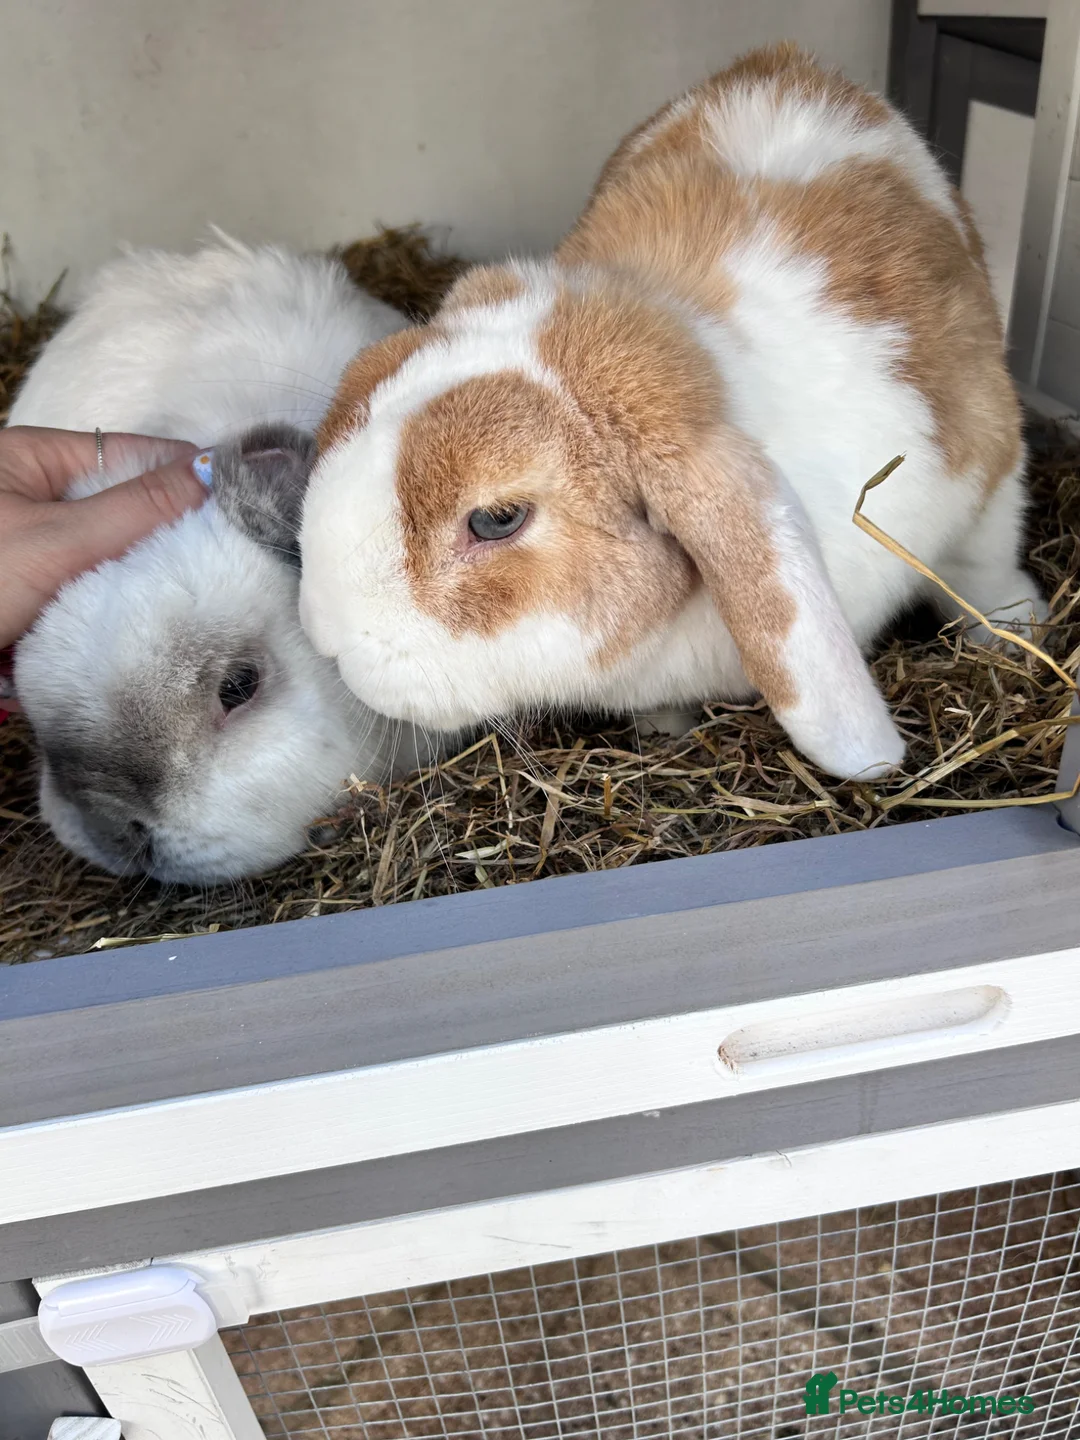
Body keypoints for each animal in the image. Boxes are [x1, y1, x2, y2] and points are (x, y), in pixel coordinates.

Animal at [297, 43, 1045, 782]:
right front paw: (665, 730)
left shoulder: (984, 467)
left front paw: (1018, 628)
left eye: (497, 519)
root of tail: (789, 64)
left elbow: (980, 565)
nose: (322, 633)